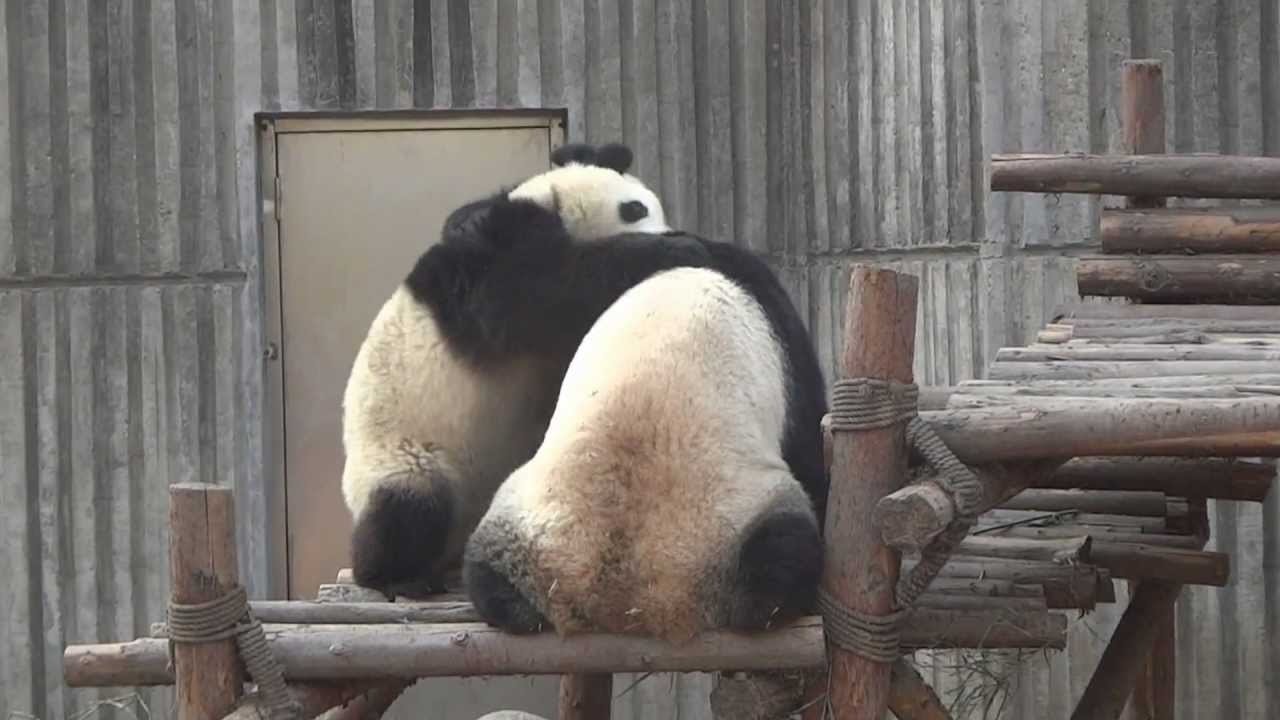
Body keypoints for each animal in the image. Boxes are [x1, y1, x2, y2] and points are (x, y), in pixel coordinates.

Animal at [340, 142, 718, 600]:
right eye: (634, 209)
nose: (667, 232)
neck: (549, 201)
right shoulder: (492, 268)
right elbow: (543, 289)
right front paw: (680, 249)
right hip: (406, 457)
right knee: (409, 509)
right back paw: (397, 576)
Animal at [463, 244, 830, 643]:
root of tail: (631, 603)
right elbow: (809, 448)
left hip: (524, 525)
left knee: (485, 571)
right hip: (735, 516)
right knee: (782, 558)